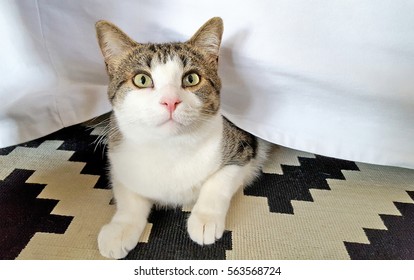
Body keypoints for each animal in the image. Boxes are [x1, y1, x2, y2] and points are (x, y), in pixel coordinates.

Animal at [96, 17, 272, 258]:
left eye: (191, 78)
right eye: (142, 79)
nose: (170, 101)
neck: (169, 148)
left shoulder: (244, 148)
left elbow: (219, 181)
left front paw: (205, 219)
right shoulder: (118, 154)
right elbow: (127, 195)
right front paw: (120, 228)